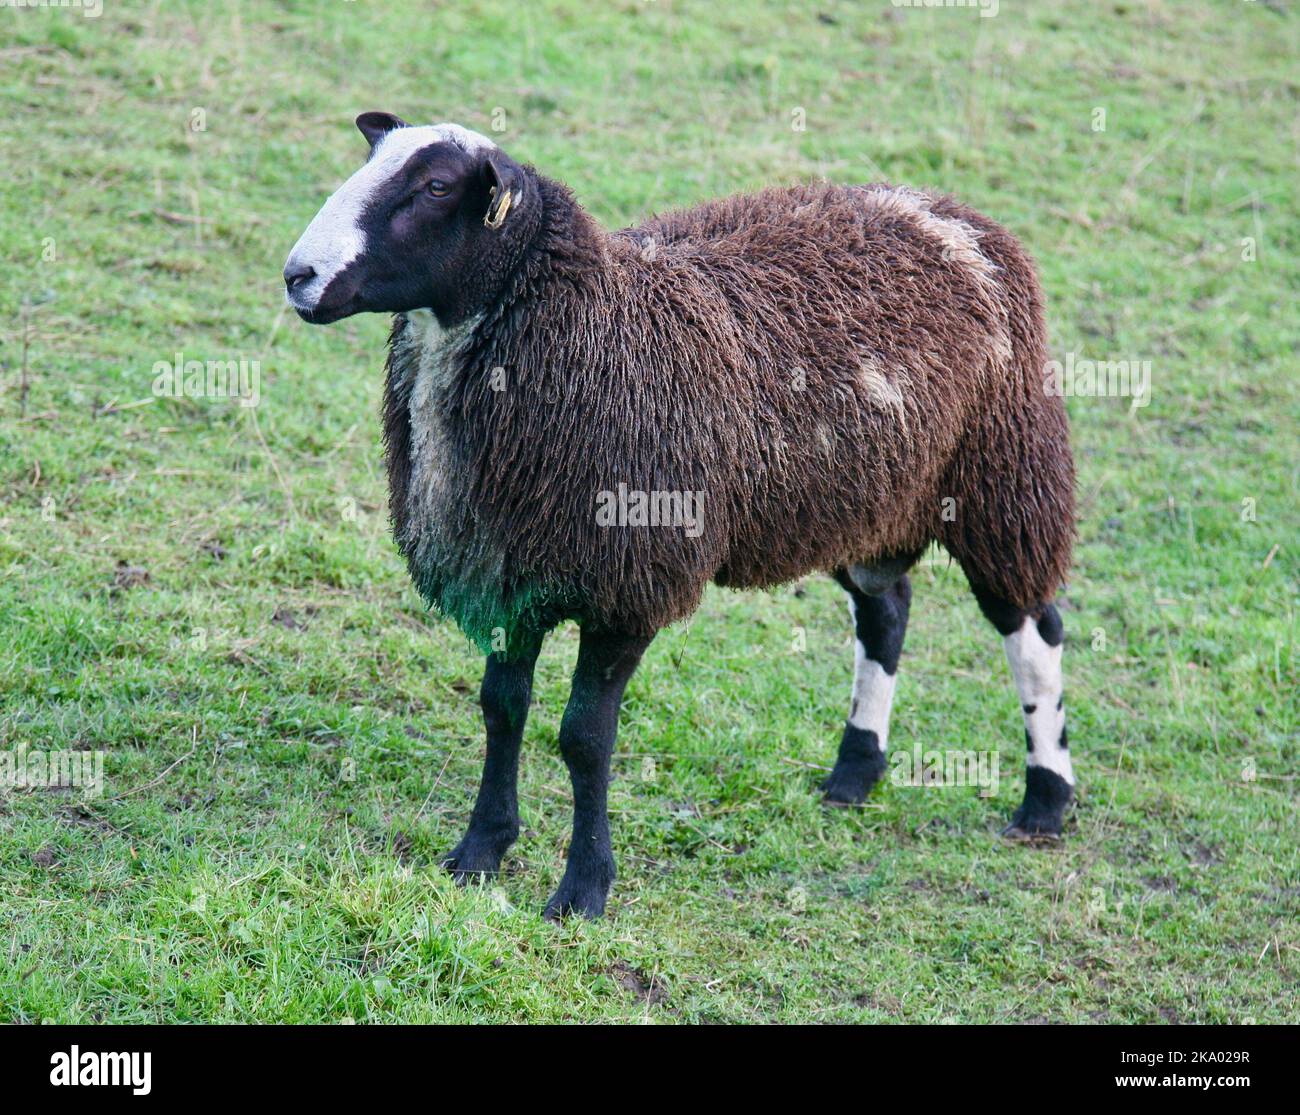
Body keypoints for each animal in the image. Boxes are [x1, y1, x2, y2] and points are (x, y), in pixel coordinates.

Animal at [284, 113, 1076, 914]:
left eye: (437, 187)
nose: (298, 276)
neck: (593, 322)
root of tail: (952, 215)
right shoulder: (508, 573)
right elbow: (502, 708)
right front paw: (480, 850)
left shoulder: (629, 586)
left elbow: (583, 738)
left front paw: (582, 890)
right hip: (858, 501)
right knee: (887, 609)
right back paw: (855, 772)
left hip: (1001, 476)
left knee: (1032, 627)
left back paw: (1045, 800)